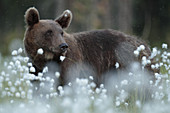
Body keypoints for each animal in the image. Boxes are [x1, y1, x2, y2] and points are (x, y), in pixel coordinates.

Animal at [23, 7, 155, 85]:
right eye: (49, 32)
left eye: (61, 32)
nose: (63, 46)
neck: (47, 60)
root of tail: (145, 45)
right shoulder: (35, 70)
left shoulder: (71, 65)